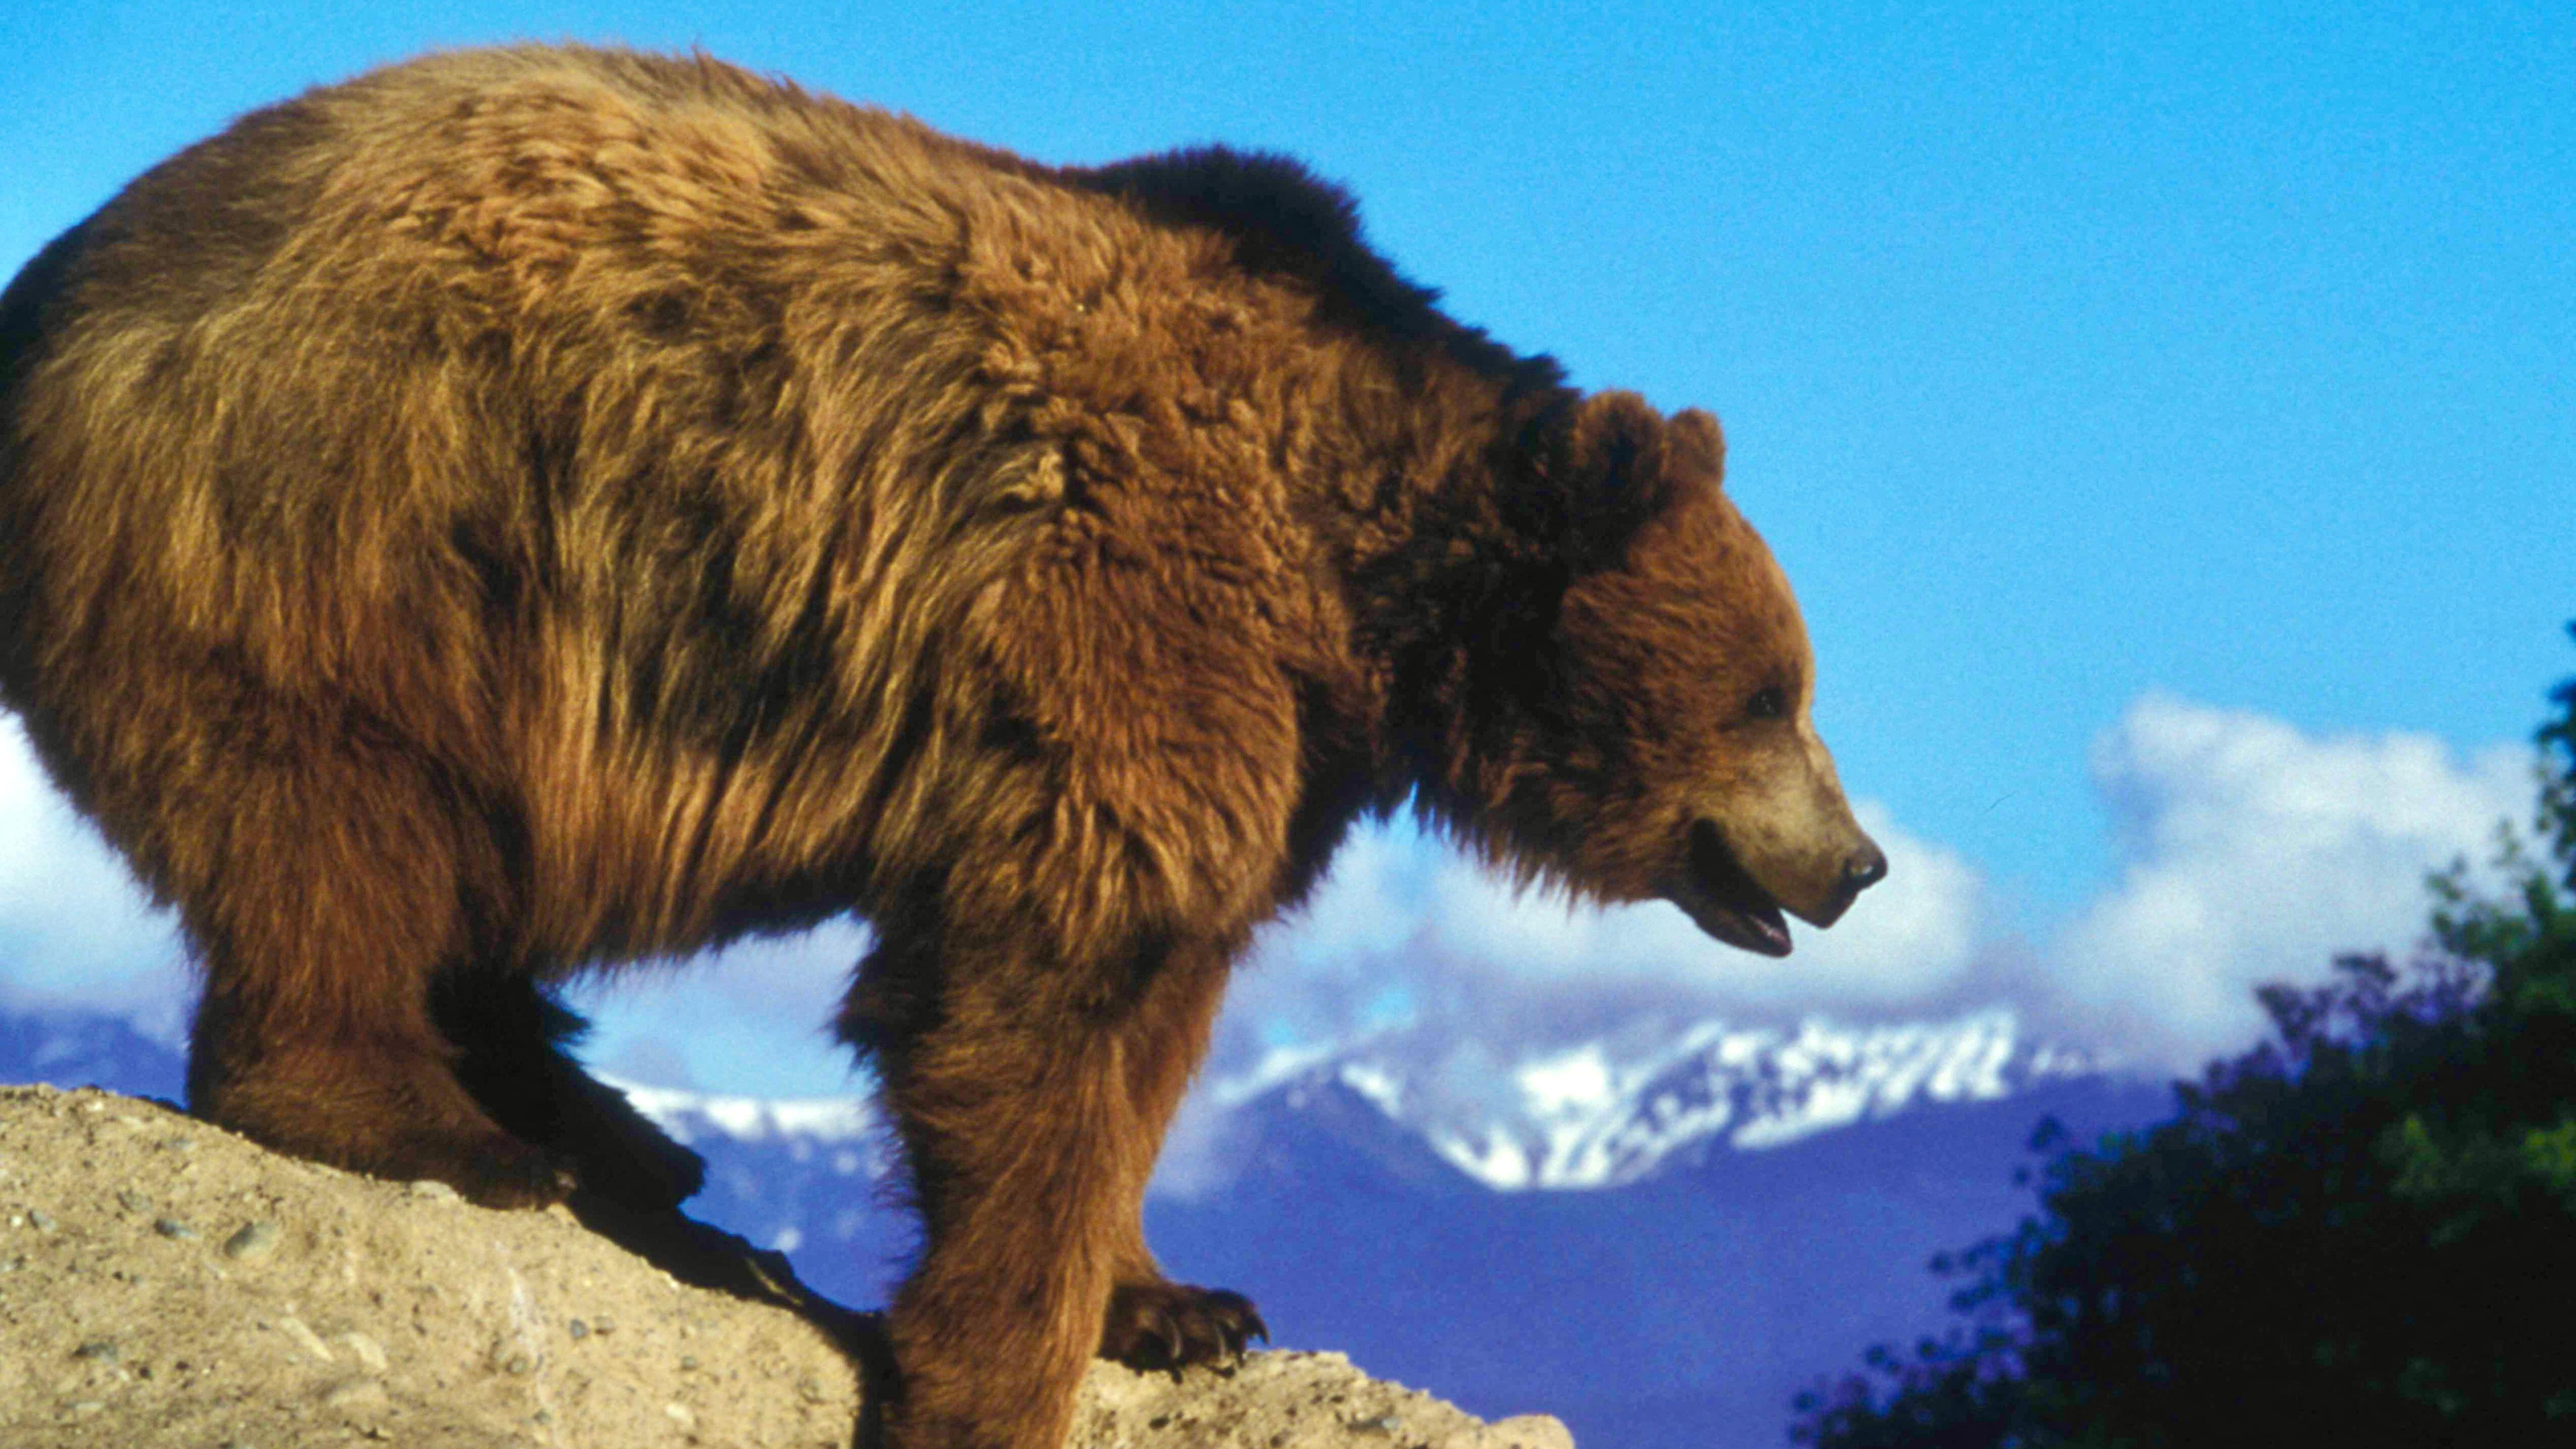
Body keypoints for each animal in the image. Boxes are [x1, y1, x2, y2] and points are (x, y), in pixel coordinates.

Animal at [0, 44, 1885, 1449]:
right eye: (1772, 694)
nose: (1859, 860)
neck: (1353, 582)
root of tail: (61, 284)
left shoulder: (1261, 746)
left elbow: (1156, 1017)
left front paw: (1179, 1297)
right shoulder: (1120, 619)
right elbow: (1029, 995)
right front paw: (994, 1372)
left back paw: (614, 1126)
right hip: (350, 516)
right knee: (338, 815)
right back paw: (446, 1123)